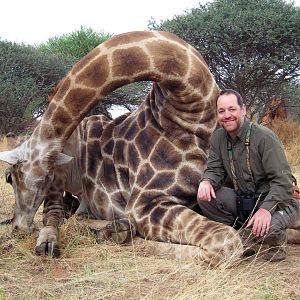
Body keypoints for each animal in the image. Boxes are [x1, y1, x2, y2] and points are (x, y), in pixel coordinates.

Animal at [0, 30, 244, 264]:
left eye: (9, 177)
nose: (18, 228)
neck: (194, 109)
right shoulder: (143, 204)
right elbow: (228, 242)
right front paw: (122, 234)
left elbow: (230, 240)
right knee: (54, 214)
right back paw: (57, 241)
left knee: (76, 213)